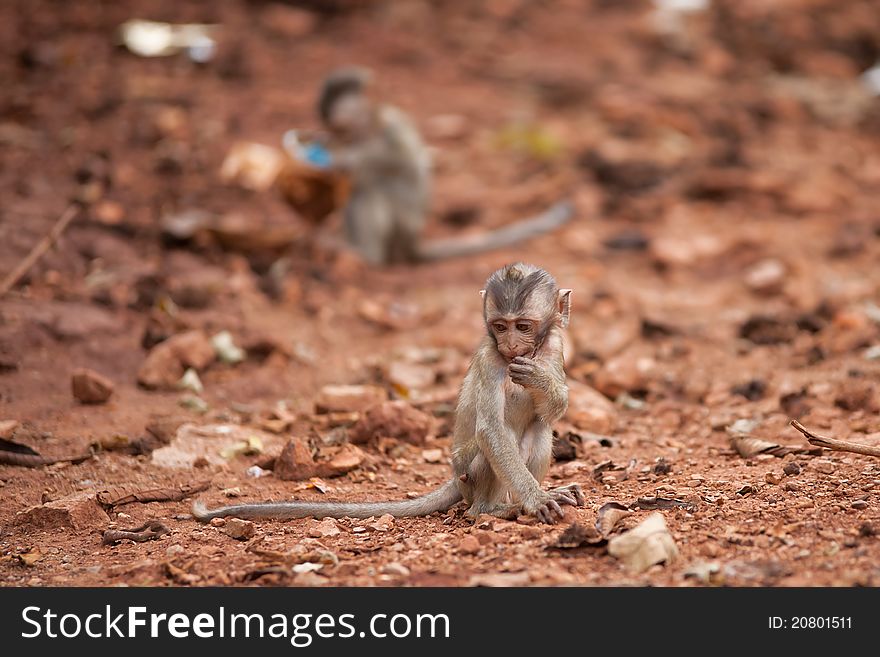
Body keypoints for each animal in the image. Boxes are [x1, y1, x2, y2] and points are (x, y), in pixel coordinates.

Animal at [198, 262, 584, 524]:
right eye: (500, 327)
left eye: (523, 326)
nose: (511, 345)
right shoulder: (491, 357)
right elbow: (491, 429)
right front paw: (536, 500)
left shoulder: (555, 344)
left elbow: (554, 407)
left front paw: (539, 380)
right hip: (468, 476)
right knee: (494, 454)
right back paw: (494, 510)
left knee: (540, 429)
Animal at [316, 66, 572, 262]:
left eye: (342, 131)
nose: (336, 140)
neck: (368, 127)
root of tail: (413, 241)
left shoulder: (390, 127)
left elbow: (397, 157)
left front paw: (344, 158)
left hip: (403, 224)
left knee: (372, 188)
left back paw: (365, 254)